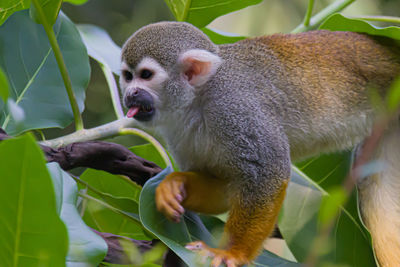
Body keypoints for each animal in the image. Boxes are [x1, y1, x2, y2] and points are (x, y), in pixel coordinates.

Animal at [120, 22, 400, 266]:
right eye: (127, 76)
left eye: (146, 75)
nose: (129, 93)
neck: (197, 100)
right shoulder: (178, 133)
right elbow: (225, 189)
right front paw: (176, 184)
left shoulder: (236, 108)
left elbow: (268, 172)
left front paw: (232, 253)